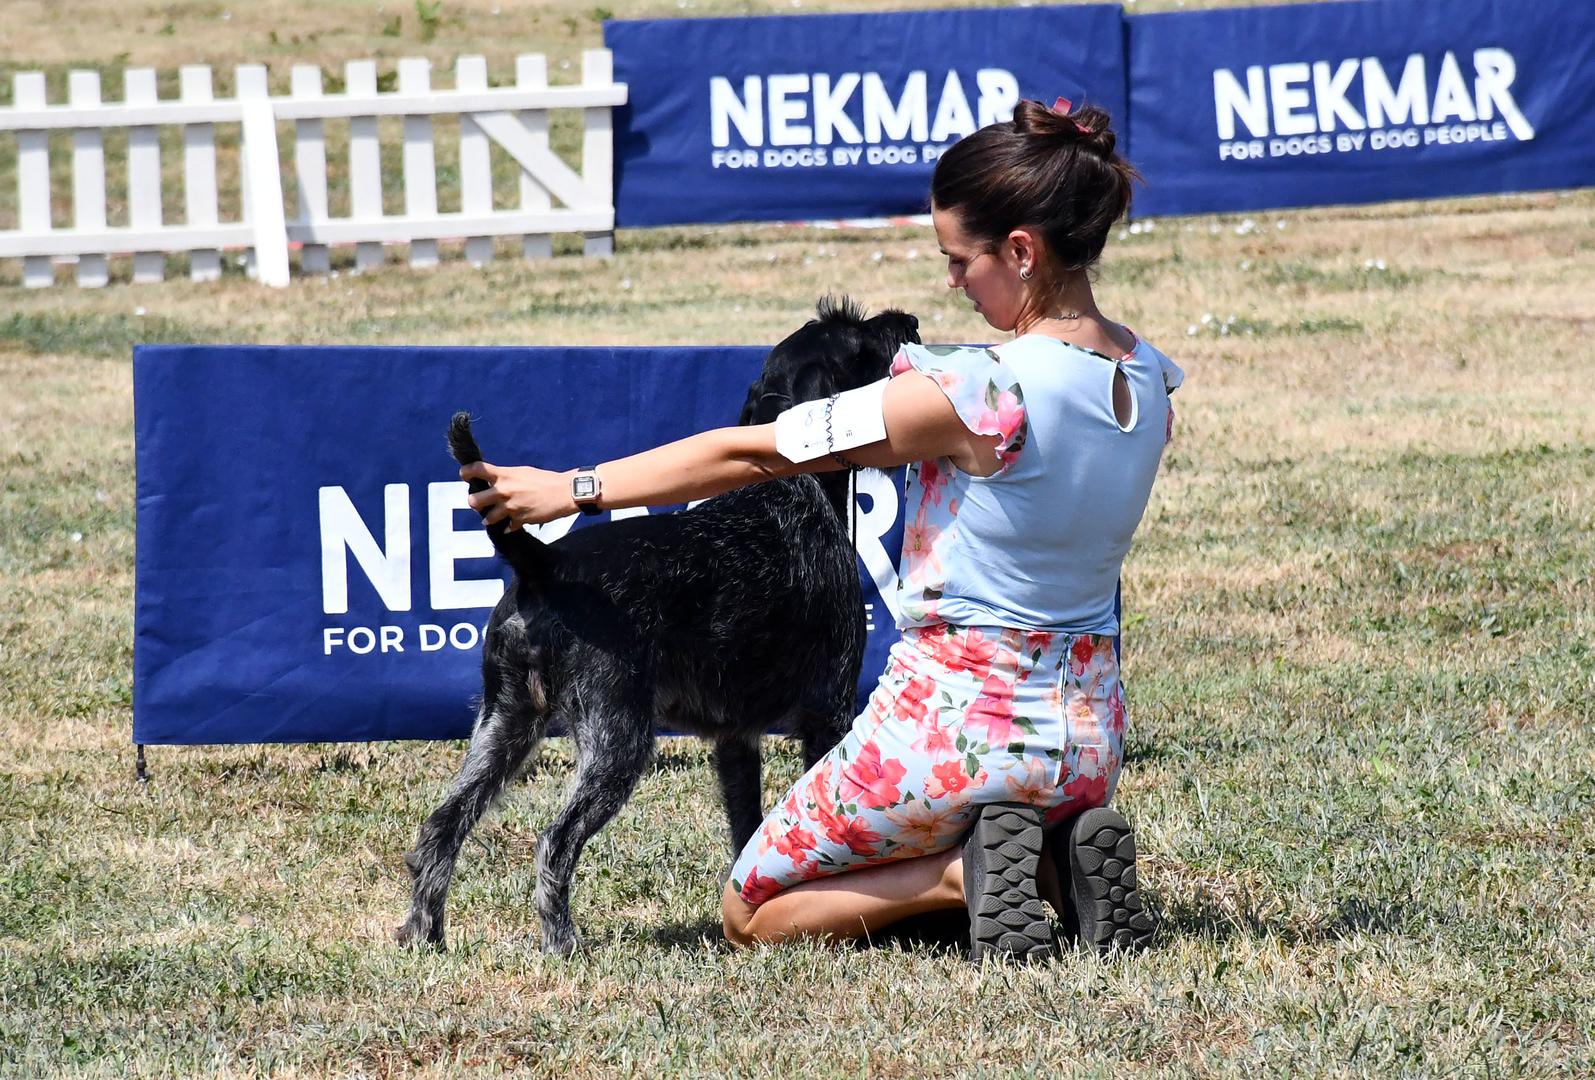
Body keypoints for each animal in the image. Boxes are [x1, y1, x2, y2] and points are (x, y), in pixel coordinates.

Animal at [398, 295, 925, 950]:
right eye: (856, 340)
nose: (911, 323)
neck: (790, 485)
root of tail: (543, 564)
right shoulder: (827, 710)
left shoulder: (735, 738)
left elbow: (746, 828)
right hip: (618, 741)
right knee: (554, 842)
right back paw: (562, 943)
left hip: (505, 726)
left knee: (441, 826)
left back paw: (424, 933)